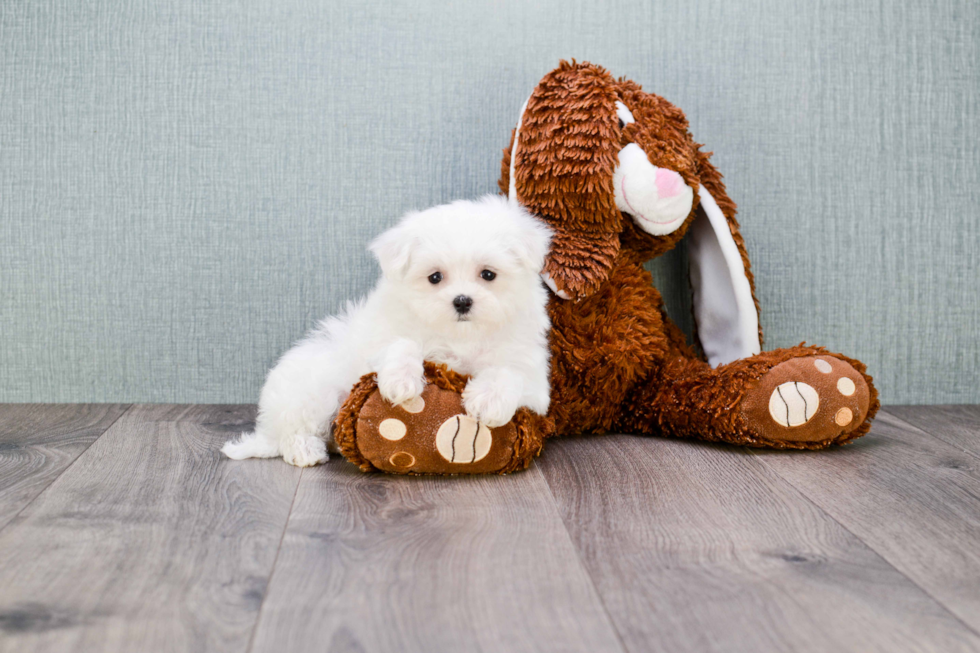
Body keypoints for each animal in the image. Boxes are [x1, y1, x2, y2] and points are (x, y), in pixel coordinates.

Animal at [225, 196, 556, 466]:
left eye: (488, 274)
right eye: (435, 277)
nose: (462, 301)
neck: (459, 337)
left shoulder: (534, 376)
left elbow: (508, 371)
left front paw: (489, 401)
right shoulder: (381, 337)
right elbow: (400, 344)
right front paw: (401, 381)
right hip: (312, 391)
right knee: (293, 430)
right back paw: (306, 450)